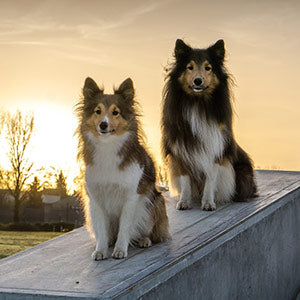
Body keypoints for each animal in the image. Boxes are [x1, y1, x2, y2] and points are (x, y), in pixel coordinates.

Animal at [75, 77, 169, 260]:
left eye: (115, 112)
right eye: (98, 111)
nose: (103, 125)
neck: (108, 146)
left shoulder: (131, 197)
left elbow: (125, 227)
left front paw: (120, 249)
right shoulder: (96, 199)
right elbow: (102, 230)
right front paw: (101, 250)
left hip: (154, 203)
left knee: (147, 231)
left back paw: (144, 240)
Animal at [162, 38, 258, 210]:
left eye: (208, 68)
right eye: (190, 67)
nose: (198, 81)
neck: (198, 103)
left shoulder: (215, 149)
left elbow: (210, 179)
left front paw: (208, 202)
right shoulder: (181, 150)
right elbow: (185, 180)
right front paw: (184, 202)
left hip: (243, 173)